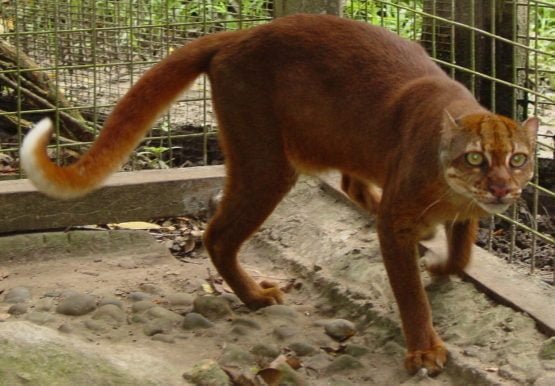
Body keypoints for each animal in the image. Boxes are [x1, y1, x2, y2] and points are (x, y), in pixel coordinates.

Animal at [21, 14, 540, 374]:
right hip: (267, 161)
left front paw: (443, 263)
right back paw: (255, 296)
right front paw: (425, 350)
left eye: (518, 159)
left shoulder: (463, 209)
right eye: (475, 159)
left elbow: (463, 247)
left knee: (348, 184)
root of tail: (240, 35)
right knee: (218, 234)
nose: (502, 187)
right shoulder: (398, 221)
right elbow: (411, 293)